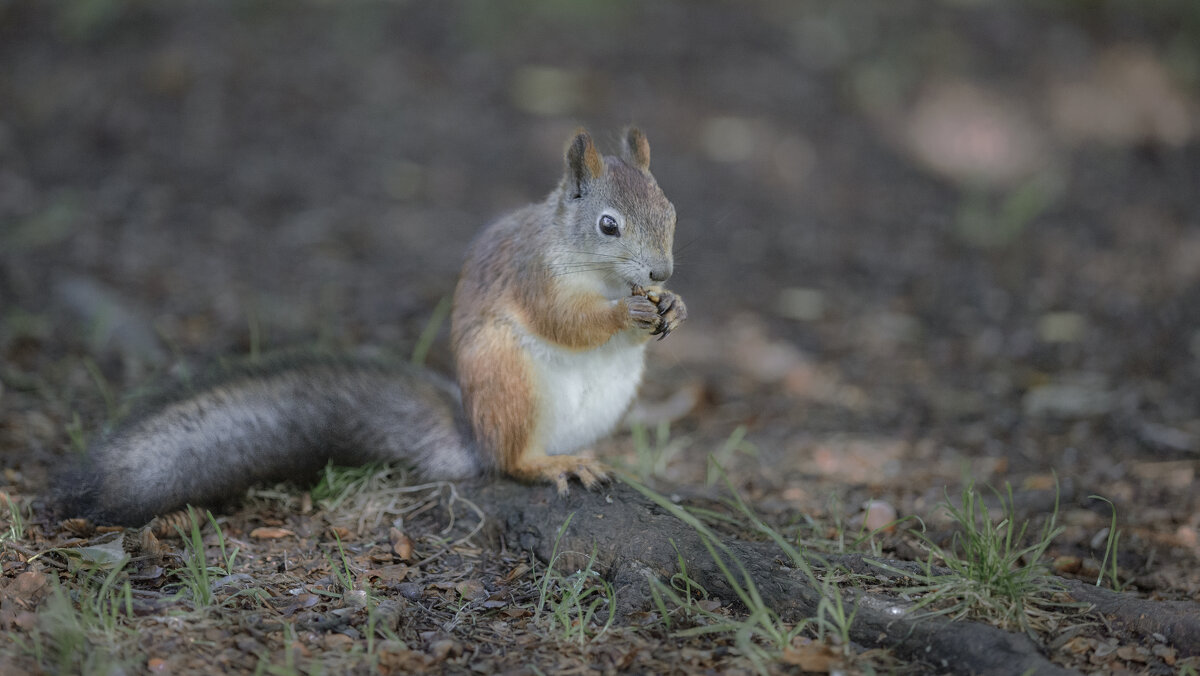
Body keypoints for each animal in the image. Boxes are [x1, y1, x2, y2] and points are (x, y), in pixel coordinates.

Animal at [54, 129, 686, 525]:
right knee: (511, 462)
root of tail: (474, 439)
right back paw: (551, 464)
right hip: (509, 381)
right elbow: (567, 320)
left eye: (671, 210)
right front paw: (621, 313)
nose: (662, 271)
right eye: (608, 225)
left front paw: (673, 306)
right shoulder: (533, 272)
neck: (601, 274)